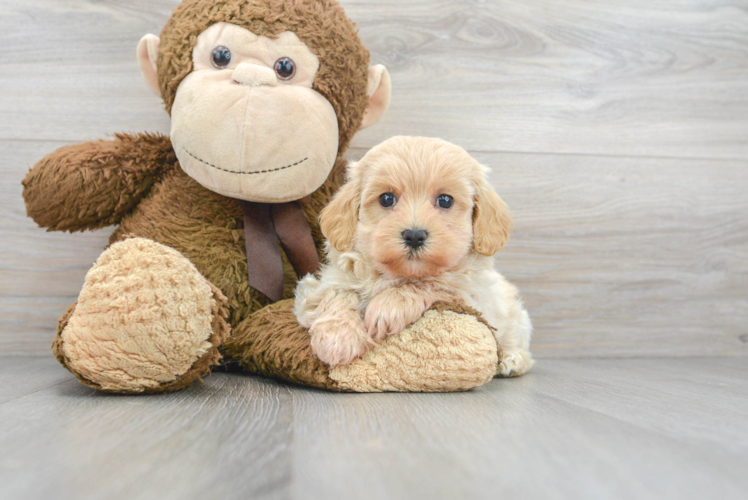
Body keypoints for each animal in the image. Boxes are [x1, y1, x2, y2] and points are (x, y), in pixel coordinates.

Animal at [292, 135, 532, 376]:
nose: (414, 236)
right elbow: (338, 293)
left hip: (515, 318)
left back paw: (511, 360)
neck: (398, 273)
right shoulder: (316, 288)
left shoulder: (470, 295)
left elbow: (430, 285)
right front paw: (337, 338)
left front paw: (388, 307)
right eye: (386, 199)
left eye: (445, 200)